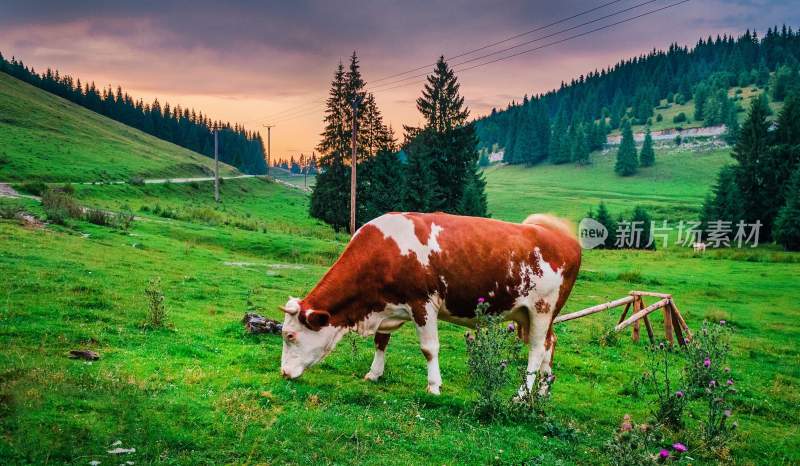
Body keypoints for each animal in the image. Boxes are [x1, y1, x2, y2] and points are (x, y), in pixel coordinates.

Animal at [280, 213, 580, 396]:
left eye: (290, 335)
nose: (283, 373)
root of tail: (562, 237)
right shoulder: (386, 306)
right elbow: (381, 341)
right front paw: (374, 374)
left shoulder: (422, 304)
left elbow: (429, 348)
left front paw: (434, 386)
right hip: (528, 315)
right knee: (549, 345)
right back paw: (543, 391)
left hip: (542, 310)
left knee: (536, 351)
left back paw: (522, 395)